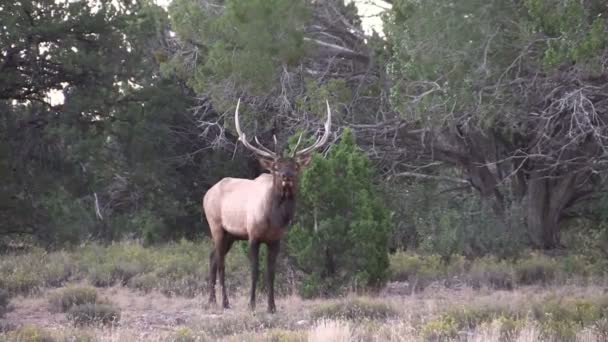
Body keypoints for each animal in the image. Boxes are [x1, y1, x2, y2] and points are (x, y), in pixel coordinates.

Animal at [202, 98, 330, 312]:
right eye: (276, 167)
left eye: (295, 166)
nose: (287, 176)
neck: (275, 219)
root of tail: (206, 193)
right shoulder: (253, 235)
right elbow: (255, 270)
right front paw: (251, 304)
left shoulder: (275, 240)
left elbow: (271, 273)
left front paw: (272, 306)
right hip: (216, 226)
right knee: (220, 262)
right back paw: (224, 302)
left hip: (231, 235)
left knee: (212, 258)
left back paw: (211, 300)